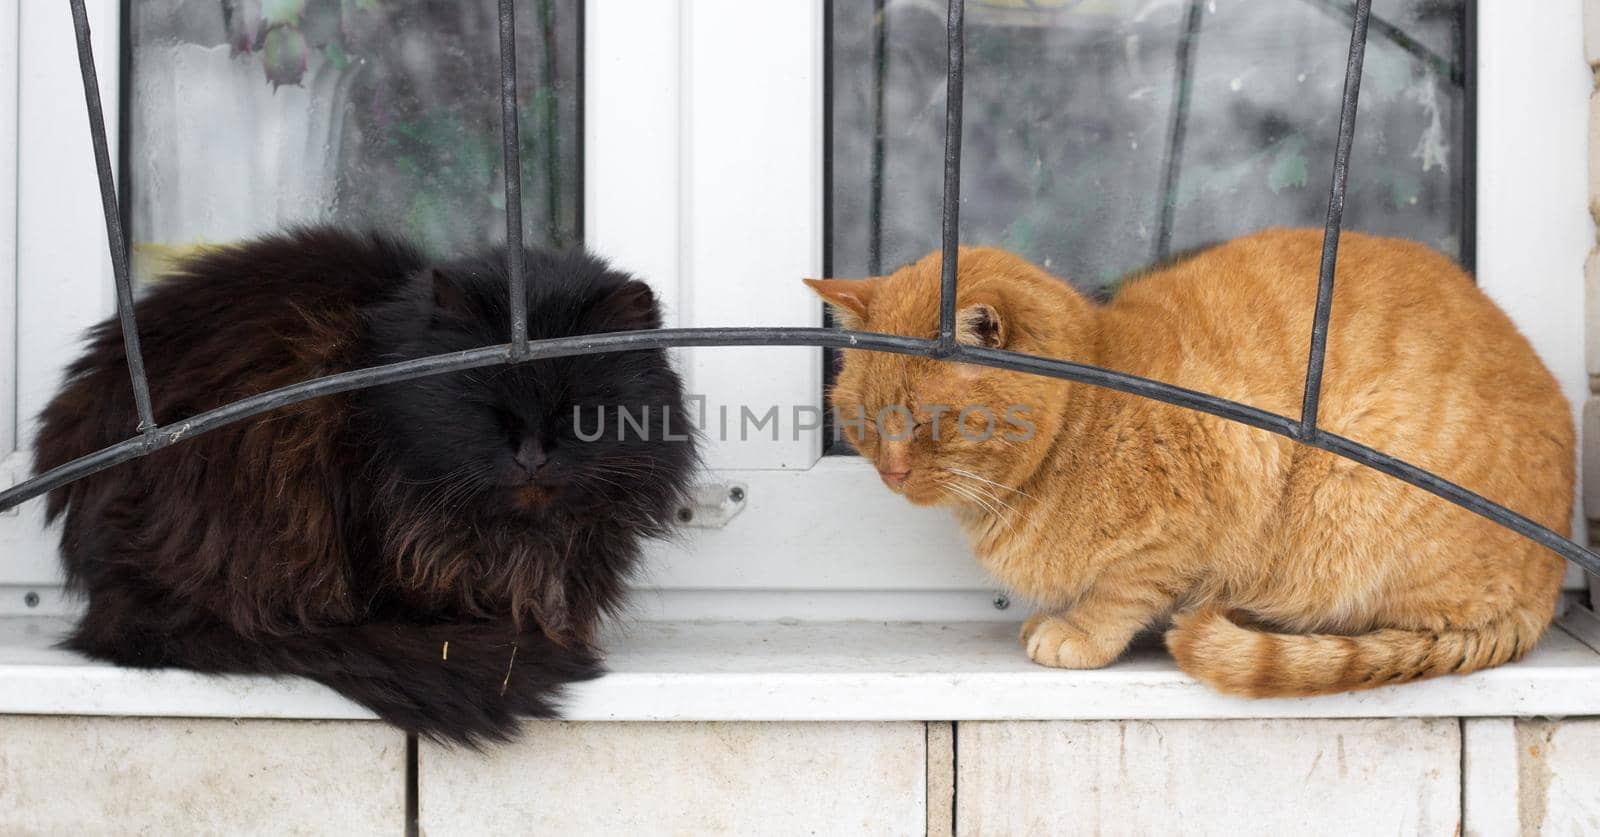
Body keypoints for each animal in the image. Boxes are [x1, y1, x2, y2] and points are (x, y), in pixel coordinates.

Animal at [812, 227, 1574, 694]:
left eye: (926, 422)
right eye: (865, 423)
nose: (892, 474)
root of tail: (1551, 575)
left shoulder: (1204, 502)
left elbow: (1124, 590)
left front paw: (1079, 631)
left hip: (1351, 493)